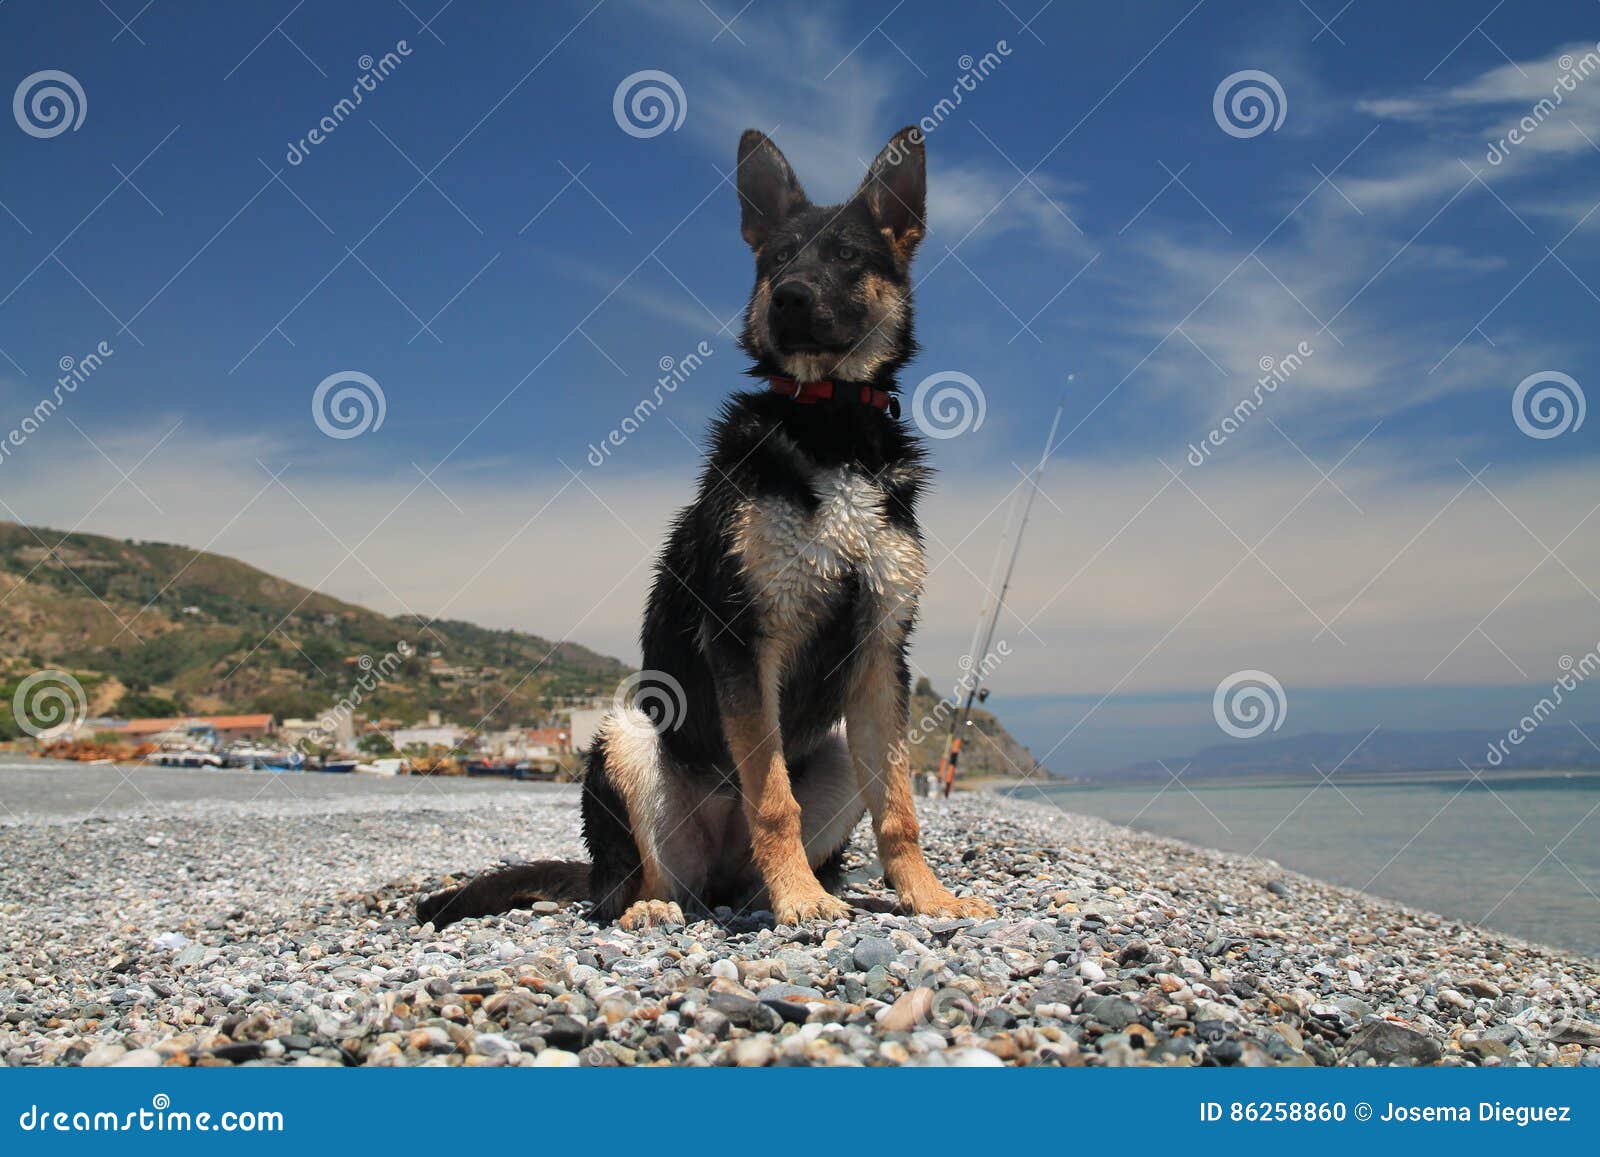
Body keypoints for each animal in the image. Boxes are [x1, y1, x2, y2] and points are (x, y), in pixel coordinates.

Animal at [416, 126, 985, 934]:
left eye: (848, 256)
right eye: (777, 259)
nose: (788, 297)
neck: (830, 423)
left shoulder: (881, 653)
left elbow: (900, 808)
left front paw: (927, 896)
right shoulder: (745, 636)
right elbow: (772, 799)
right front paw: (801, 901)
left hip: (837, 751)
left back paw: (792, 890)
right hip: (628, 736)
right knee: (643, 880)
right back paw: (668, 905)